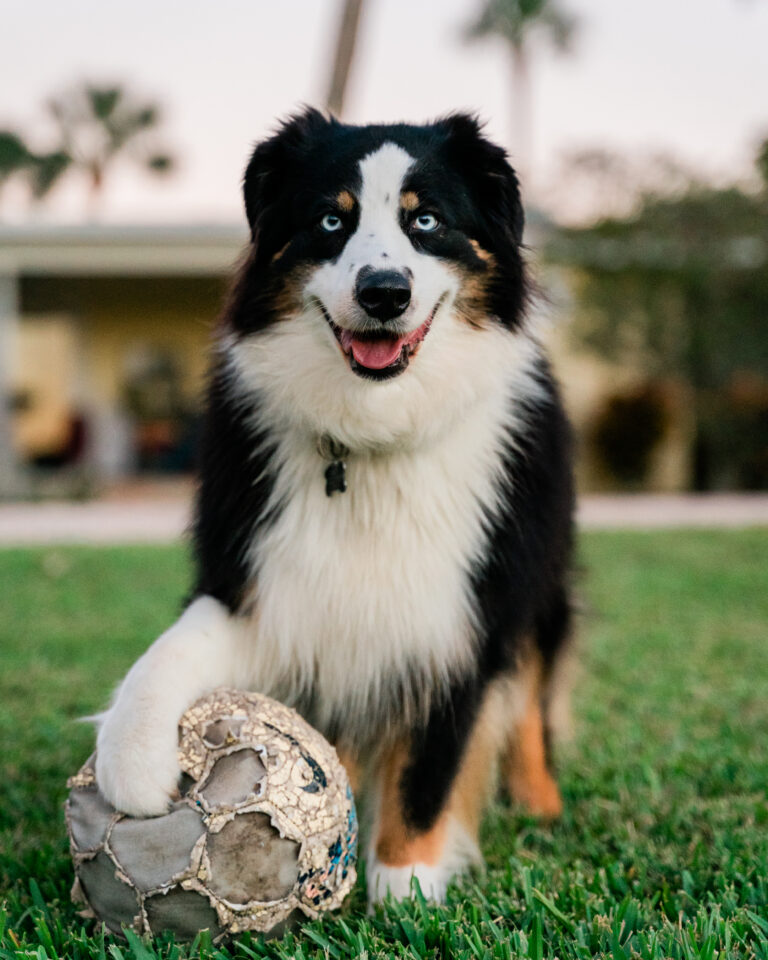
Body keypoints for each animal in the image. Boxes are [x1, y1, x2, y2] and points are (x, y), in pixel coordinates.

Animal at [96, 109, 572, 904]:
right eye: (329, 220)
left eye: (427, 220)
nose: (384, 292)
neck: (370, 436)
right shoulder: (258, 573)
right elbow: (169, 652)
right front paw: (127, 764)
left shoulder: (466, 612)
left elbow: (430, 768)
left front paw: (406, 885)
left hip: (539, 576)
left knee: (534, 689)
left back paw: (539, 799)